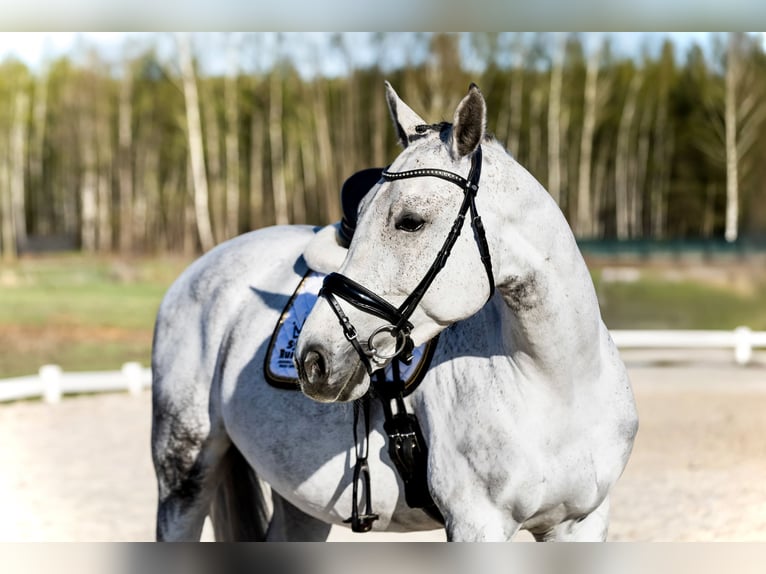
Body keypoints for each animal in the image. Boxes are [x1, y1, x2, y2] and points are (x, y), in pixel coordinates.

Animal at [151, 82, 638, 542]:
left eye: (410, 222)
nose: (313, 360)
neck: (559, 382)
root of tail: (199, 268)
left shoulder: (582, 523)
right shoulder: (477, 523)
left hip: (298, 503)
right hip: (183, 474)